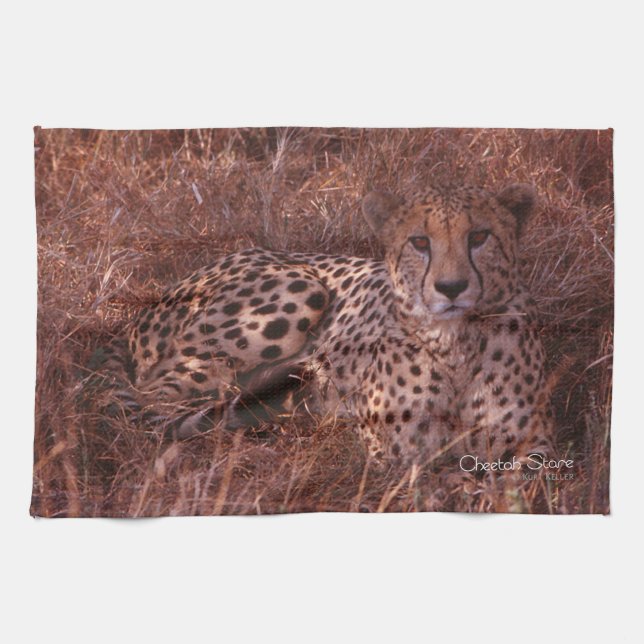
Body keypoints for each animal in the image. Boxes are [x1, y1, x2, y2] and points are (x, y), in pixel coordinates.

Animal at [97, 183, 554, 466]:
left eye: (479, 237)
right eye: (419, 242)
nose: (452, 287)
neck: (455, 343)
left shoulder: (537, 444)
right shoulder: (396, 452)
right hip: (300, 289)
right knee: (154, 398)